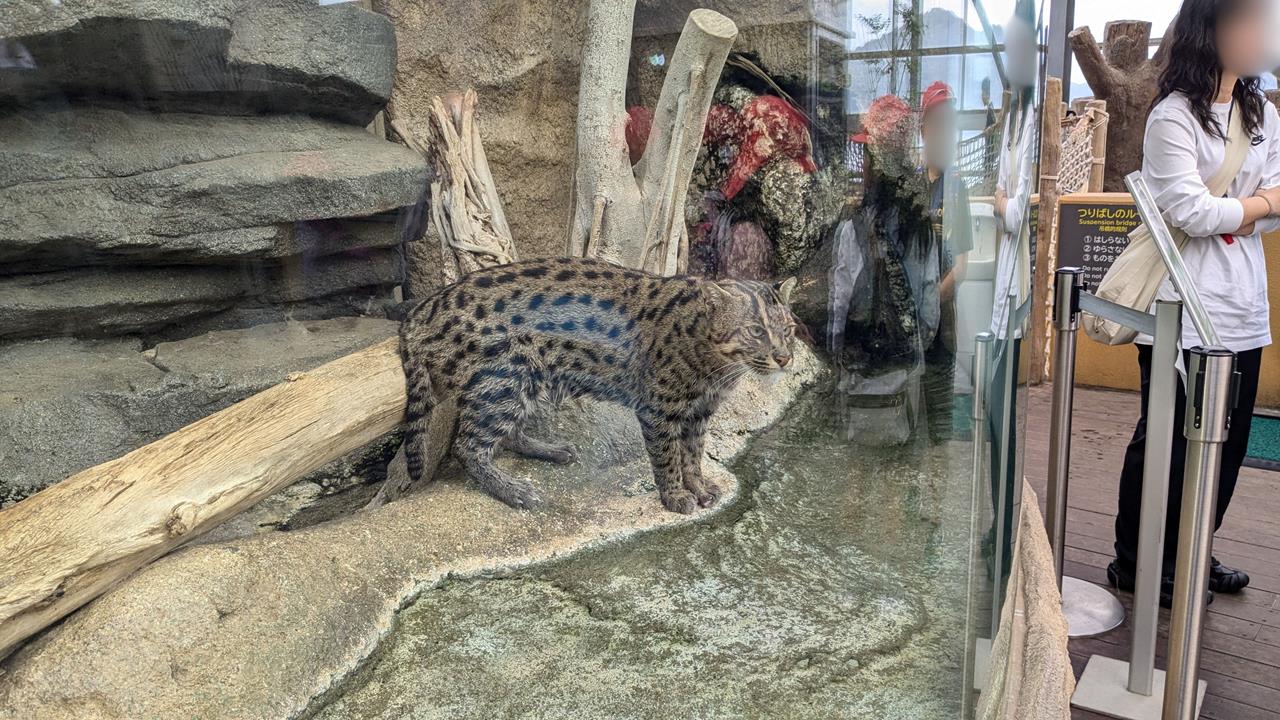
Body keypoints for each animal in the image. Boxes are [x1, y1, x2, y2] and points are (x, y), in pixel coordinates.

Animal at [366, 254, 793, 512]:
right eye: (756, 331)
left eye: (787, 329)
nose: (785, 357)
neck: (716, 365)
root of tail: (427, 306)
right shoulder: (659, 409)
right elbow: (668, 456)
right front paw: (675, 495)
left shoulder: (698, 412)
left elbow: (693, 454)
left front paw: (699, 486)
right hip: (506, 375)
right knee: (467, 446)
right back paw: (512, 490)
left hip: (526, 380)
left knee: (506, 433)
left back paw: (549, 450)